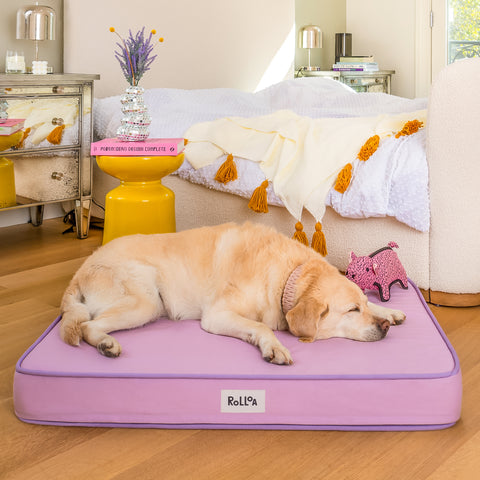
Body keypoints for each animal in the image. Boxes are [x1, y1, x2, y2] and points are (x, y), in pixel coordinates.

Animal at [59, 223, 404, 366]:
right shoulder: (217, 315)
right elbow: (261, 326)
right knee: (88, 325)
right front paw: (274, 347)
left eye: (362, 305)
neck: (289, 274)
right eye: (351, 311)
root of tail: (78, 273)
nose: (385, 329)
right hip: (145, 302)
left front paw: (389, 312)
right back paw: (106, 344)